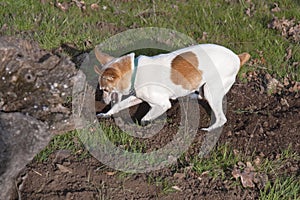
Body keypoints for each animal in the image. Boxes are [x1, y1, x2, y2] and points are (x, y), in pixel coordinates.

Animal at [94, 44, 251, 131]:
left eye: (105, 90)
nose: (101, 101)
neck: (135, 71)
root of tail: (237, 57)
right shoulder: (136, 97)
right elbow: (118, 105)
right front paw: (105, 114)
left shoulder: (163, 103)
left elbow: (145, 118)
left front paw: (145, 124)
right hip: (204, 86)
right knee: (201, 95)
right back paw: (191, 96)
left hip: (211, 90)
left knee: (221, 118)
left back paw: (208, 130)